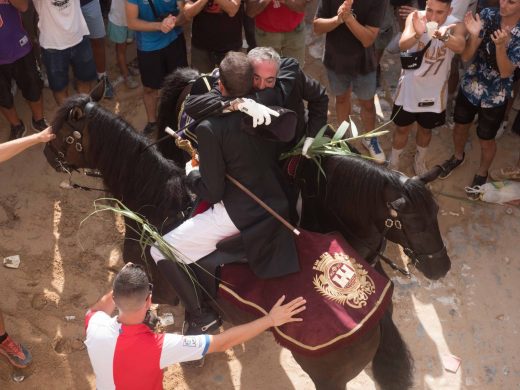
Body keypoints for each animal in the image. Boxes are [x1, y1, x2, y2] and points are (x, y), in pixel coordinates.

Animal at [42, 86, 450, 390]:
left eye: (62, 132)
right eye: (418, 222)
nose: (46, 152)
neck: (157, 193)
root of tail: (376, 313)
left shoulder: (154, 278)